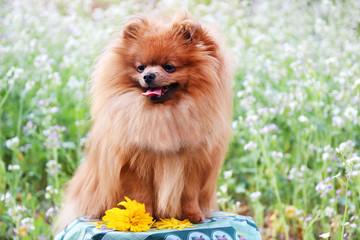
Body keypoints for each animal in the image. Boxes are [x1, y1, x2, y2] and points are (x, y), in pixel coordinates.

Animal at [54, 12, 232, 232]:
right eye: (140, 67)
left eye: (169, 67)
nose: (148, 75)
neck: (164, 113)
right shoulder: (136, 166)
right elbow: (140, 196)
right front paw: (143, 218)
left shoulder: (192, 164)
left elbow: (189, 195)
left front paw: (194, 216)